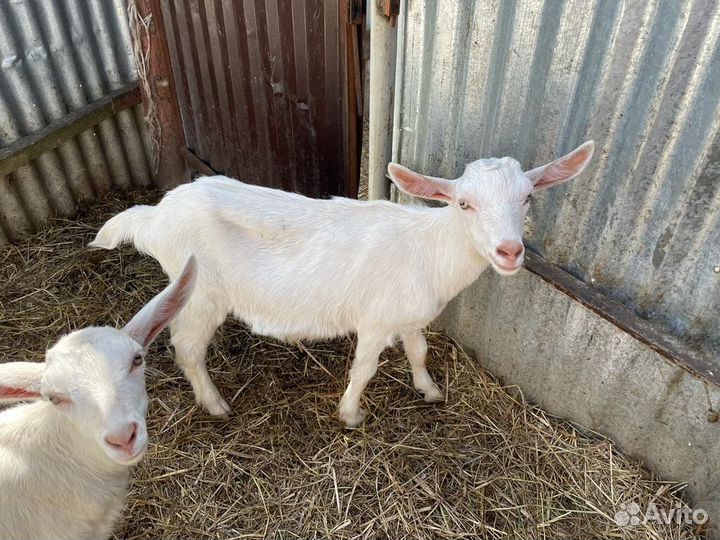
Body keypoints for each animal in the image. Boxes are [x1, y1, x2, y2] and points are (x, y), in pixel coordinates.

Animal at [90, 142, 593, 427]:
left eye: (527, 198)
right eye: (464, 204)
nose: (510, 251)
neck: (429, 248)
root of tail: (156, 215)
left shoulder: (408, 315)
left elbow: (418, 352)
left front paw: (429, 390)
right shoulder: (375, 321)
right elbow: (365, 369)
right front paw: (351, 415)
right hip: (201, 292)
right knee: (187, 348)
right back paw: (215, 405)